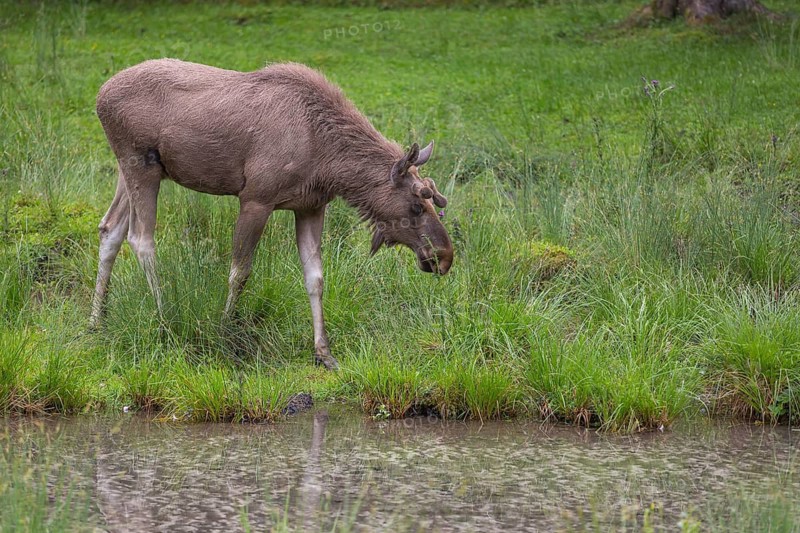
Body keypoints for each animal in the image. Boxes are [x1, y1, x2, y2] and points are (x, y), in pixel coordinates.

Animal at [89, 59, 453, 370]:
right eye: (417, 204)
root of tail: (99, 96)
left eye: (435, 200)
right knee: (141, 238)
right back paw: (165, 318)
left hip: (133, 170)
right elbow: (240, 271)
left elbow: (315, 277)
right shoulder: (255, 198)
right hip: (141, 163)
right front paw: (225, 332)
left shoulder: (310, 206)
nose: (444, 256)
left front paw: (324, 352)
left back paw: (96, 321)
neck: (331, 165)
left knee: (109, 228)